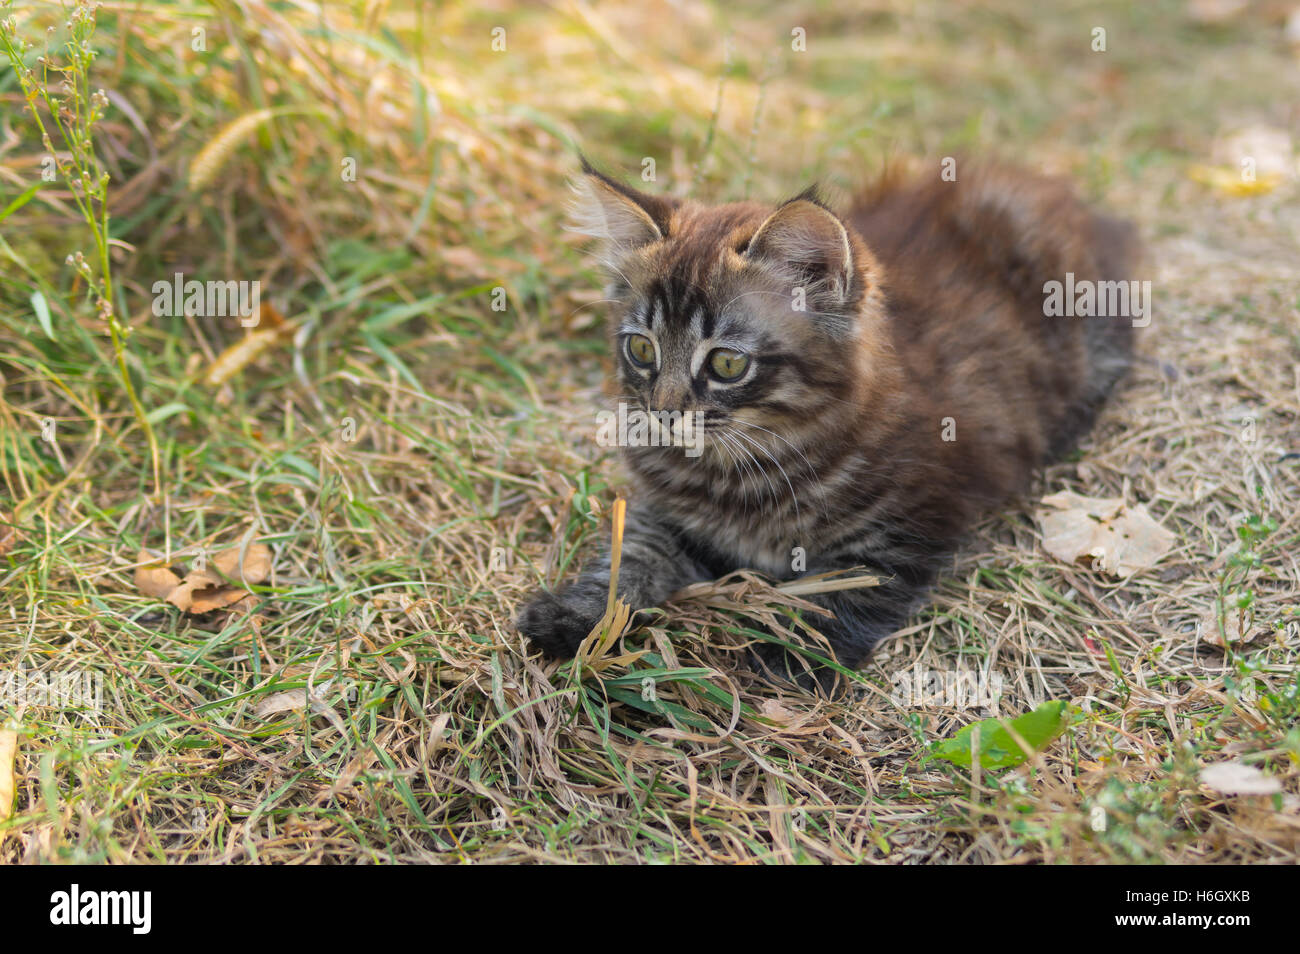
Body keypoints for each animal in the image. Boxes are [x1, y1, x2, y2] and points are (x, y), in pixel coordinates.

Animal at [517, 158, 1138, 681]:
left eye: (726, 363)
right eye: (642, 349)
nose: (665, 415)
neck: (747, 464)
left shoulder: (907, 526)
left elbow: (844, 592)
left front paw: (788, 655)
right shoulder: (666, 516)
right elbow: (629, 560)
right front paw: (577, 615)